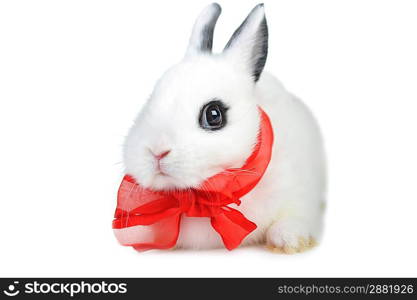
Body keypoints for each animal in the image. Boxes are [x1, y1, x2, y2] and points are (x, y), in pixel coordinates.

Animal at [122, 3, 326, 253]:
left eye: (213, 114)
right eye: (150, 101)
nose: (156, 151)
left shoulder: (299, 194)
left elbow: (292, 217)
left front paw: (290, 241)